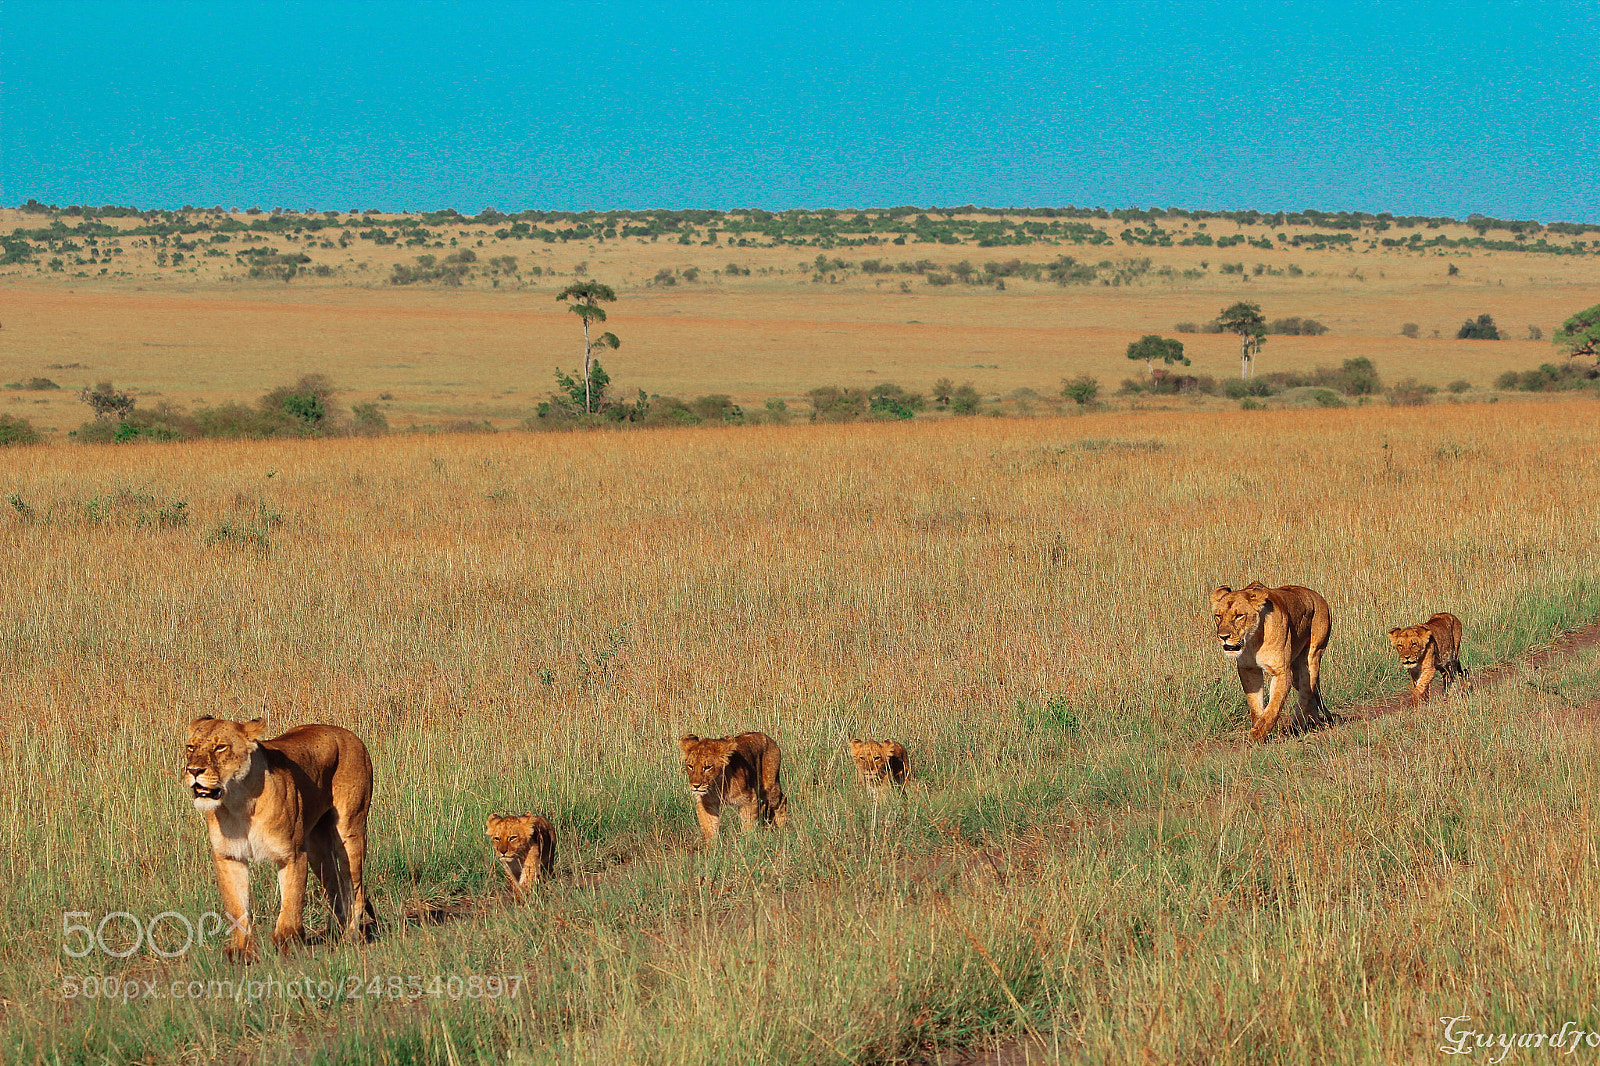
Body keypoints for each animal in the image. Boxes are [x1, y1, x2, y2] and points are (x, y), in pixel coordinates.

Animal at [184, 716, 376, 961]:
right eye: (191, 747)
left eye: (220, 747)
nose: (193, 770)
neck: (239, 803)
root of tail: (350, 735)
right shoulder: (229, 857)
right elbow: (236, 907)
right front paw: (241, 951)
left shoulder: (292, 855)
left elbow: (291, 903)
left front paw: (286, 944)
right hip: (317, 848)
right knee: (334, 888)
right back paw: (335, 934)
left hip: (350, 830)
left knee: (355, 889)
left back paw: (349, 937)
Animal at [1211, 582, 1335, 741]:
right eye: (1218, 616)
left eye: (1239, 616)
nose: (1223, 636)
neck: (1252, 641)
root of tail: (1319, 597)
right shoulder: (1248, 669)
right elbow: (1255, 704)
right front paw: (1257, 727)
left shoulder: (1282, 672)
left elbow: (1274, 706)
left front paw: (1257, 735)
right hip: (1296, 672)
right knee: (1311, 694)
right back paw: (1313, 722)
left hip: (1312, 657)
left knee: (1306, 692)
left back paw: (1297, 726)